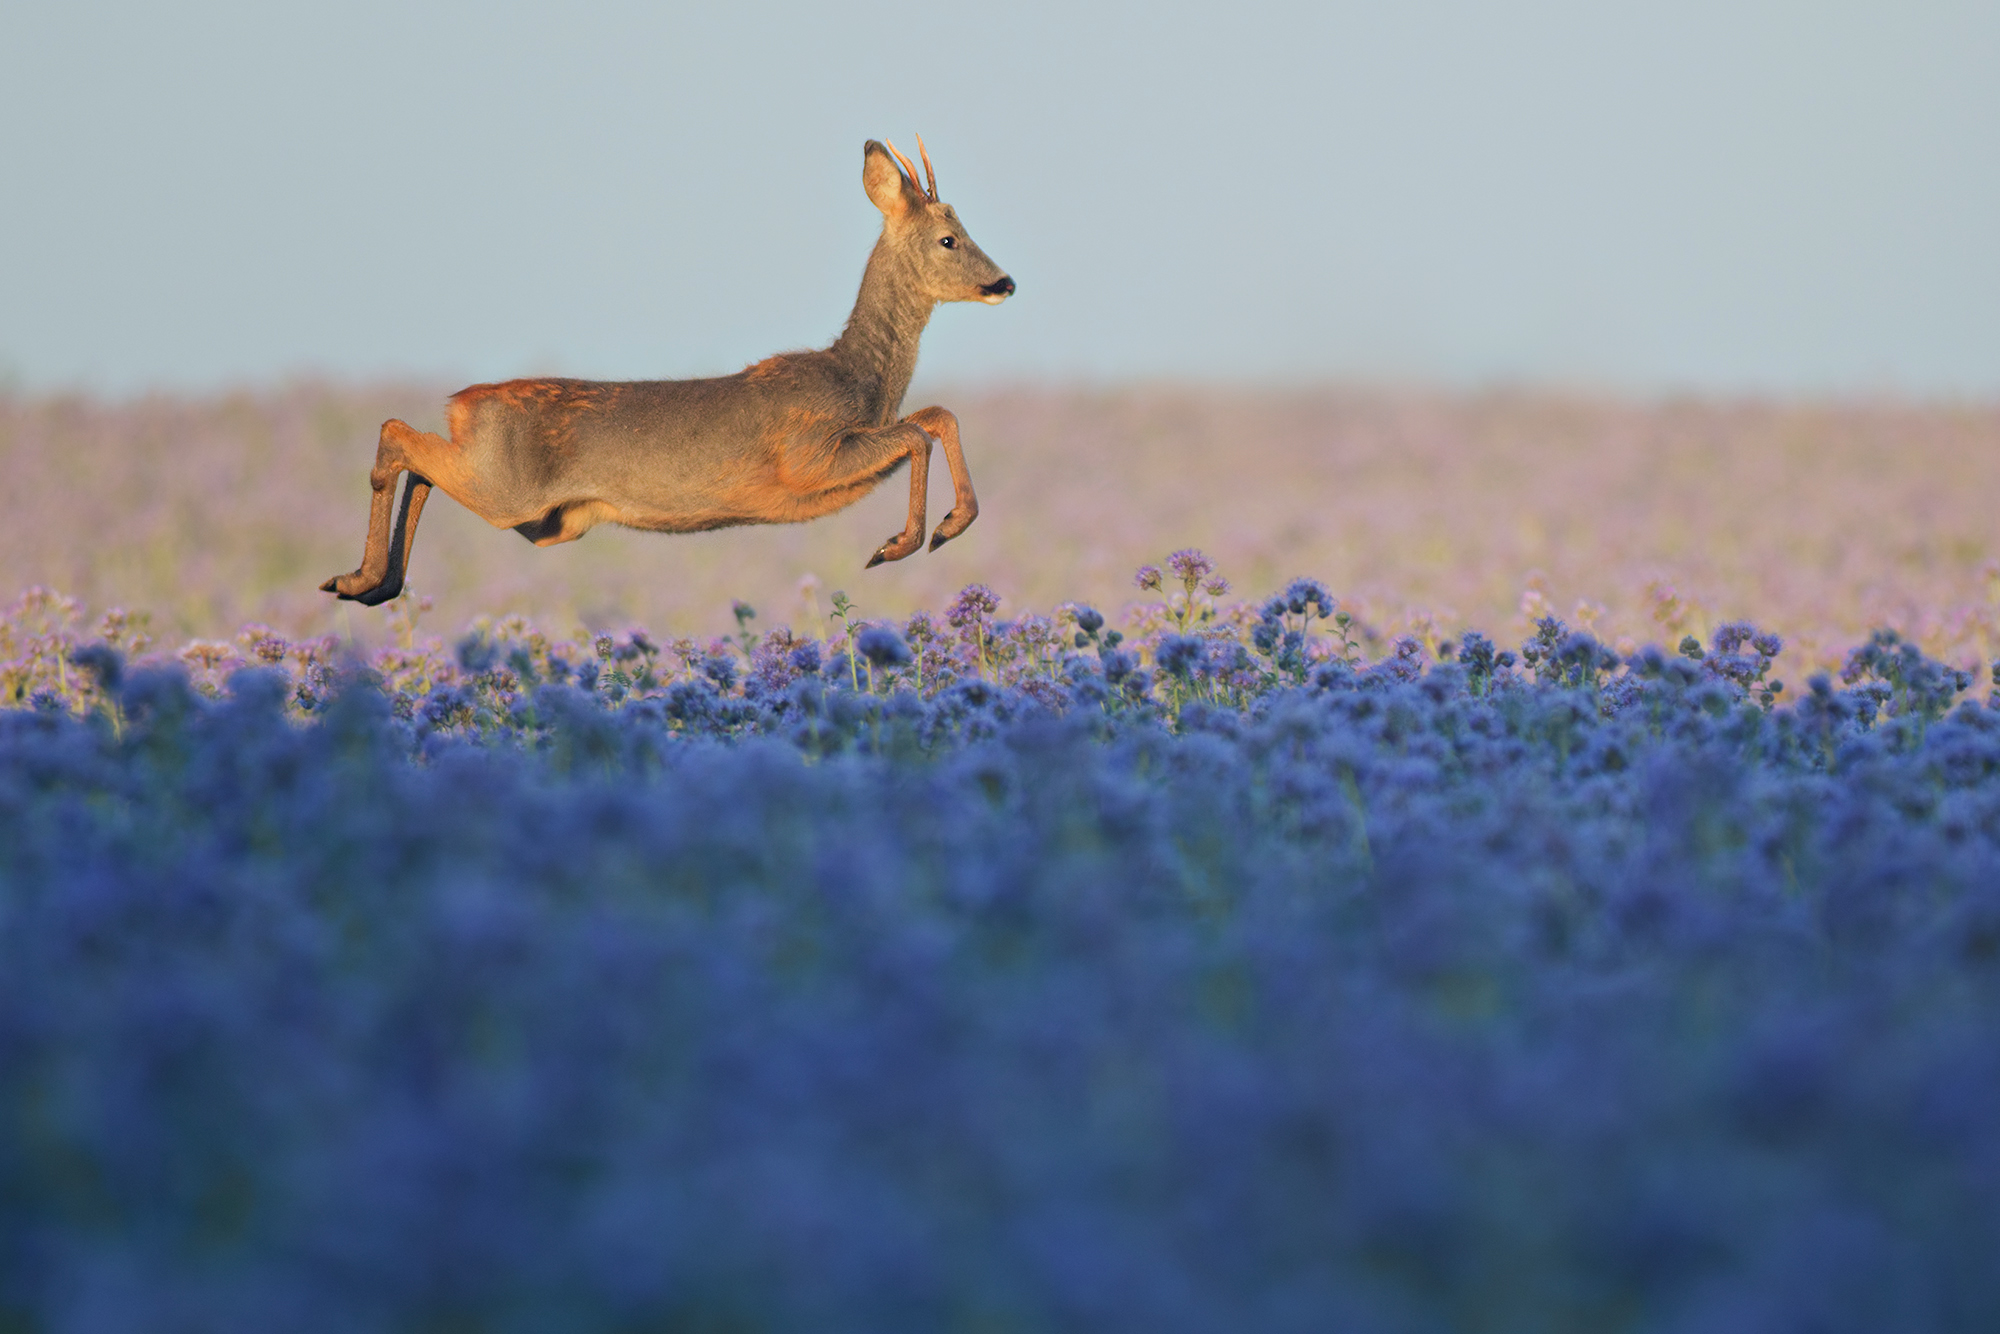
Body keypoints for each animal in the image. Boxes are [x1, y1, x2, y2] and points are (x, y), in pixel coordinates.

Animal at [321, 136, 1014, 606]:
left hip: (542, 518)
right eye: (949, 239)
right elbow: (919, 432)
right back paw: (357, 577)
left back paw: (371, 585)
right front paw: (904, 542)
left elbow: (937, 416)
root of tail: (462, 402)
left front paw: (946, 527)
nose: (1004, 282)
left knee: (419, 462)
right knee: (396, 434)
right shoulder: (809, 455)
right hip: (505, 489)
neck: (860, 381)